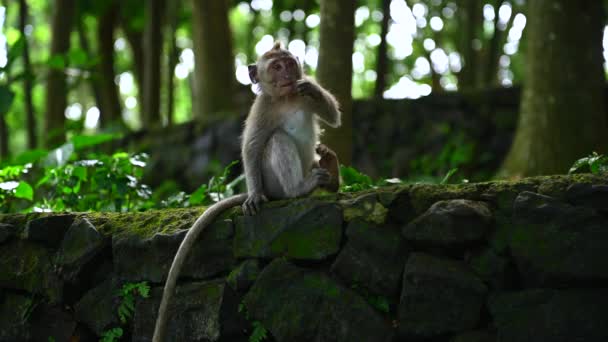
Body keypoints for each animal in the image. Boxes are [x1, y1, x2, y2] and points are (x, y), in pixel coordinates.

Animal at [152, 42, 342, 342]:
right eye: (276, 67)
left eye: (289, 63)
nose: (288, 74)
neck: (285, 98)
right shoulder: (261, 108)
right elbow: (252, 148)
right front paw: (253, 196)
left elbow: (332, 115)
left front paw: (310, 88)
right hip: (272, 183)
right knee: (276, 141)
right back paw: (299, 189)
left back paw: (331, 171)